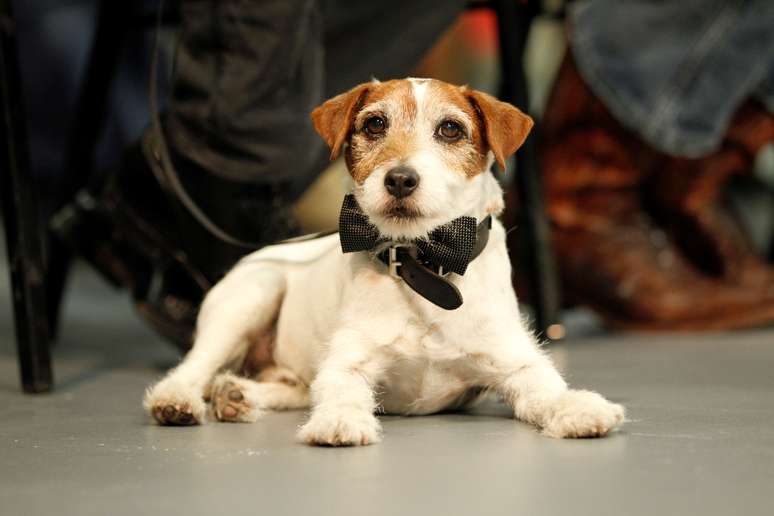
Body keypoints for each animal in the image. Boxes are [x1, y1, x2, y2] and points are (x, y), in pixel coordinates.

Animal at [146, 76, 628, 444]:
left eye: (450, 130)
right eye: (375, 123)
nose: (399, 178)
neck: (422, 263)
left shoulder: (513, 361)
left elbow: (546, 387)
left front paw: (576, 406)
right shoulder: (348, 362)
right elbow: (341, 390)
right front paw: (341, 419)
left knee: (293, 386)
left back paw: (237, 395)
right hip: (251, 297)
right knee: (195, 366)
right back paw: (178, 400)